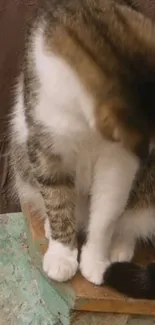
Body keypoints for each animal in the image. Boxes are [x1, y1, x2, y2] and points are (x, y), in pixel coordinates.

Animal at [10, 0, 155, 284]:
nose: (147, 153)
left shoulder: (119, 159)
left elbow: (107, 211)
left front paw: (96, 261)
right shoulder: (46, 144)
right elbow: (56, 198)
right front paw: (62, 256)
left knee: (130, 219)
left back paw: (120, 246)